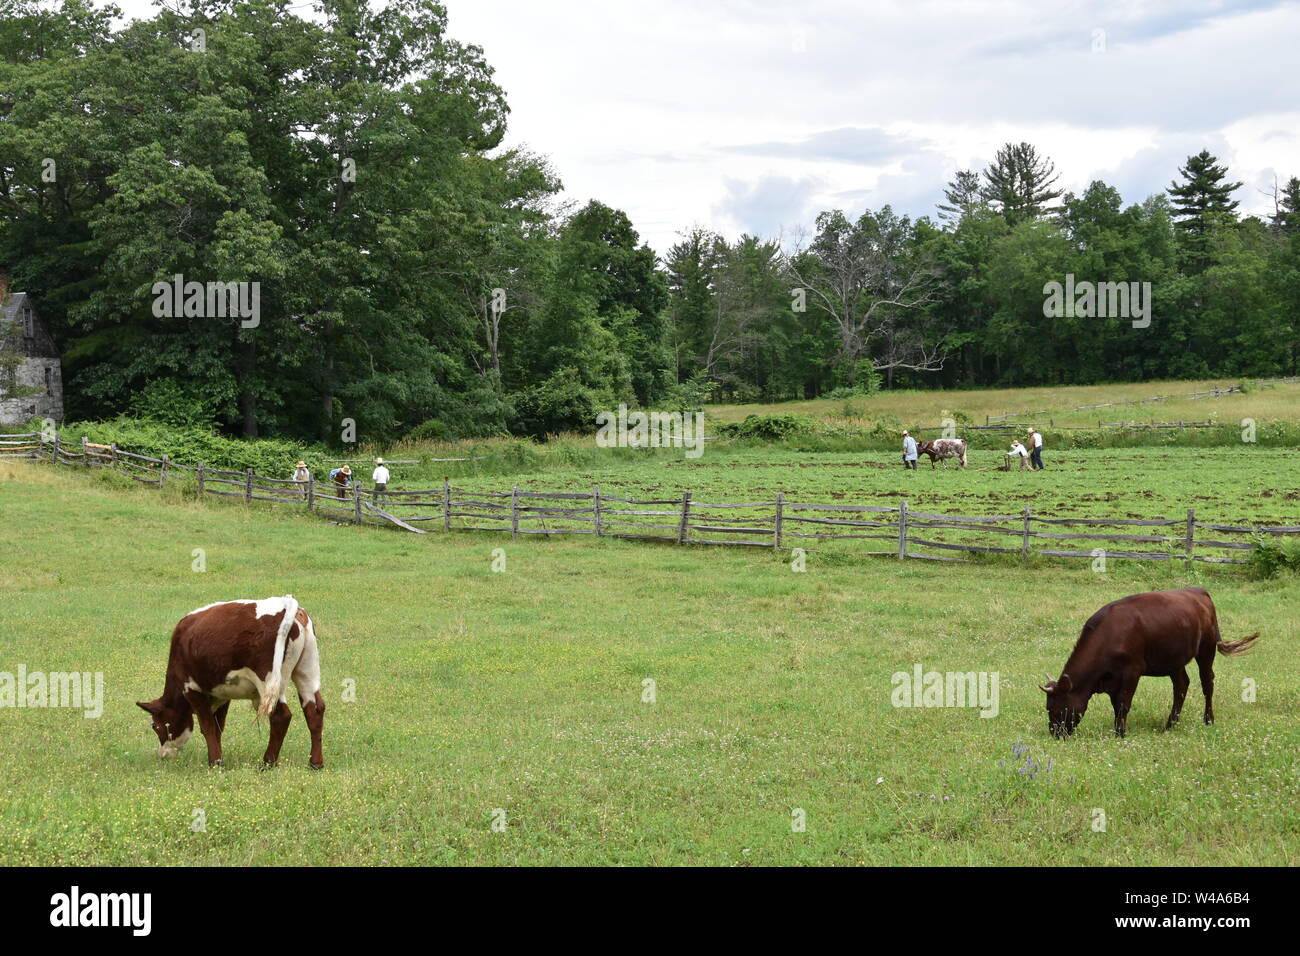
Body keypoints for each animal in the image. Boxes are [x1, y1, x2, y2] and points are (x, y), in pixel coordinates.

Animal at [137, 598, 325, 770]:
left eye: (155, 726)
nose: (162, 755)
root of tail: (287, 605)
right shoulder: (222, 693)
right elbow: (217, 727)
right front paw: (218, 757)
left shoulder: (192, 688)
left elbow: (207, 726)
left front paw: (215, 762)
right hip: (307, 672)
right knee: (315, 710)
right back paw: (315, 763)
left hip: (269, 681)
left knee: (281, 716)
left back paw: (267, 762)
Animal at [1040, 590, 1253, 738]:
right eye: (1047, 707)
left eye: (1057, 707)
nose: (1055, 734)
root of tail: (1199, 592)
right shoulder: (1113, 679)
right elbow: (1116, 704)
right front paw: (1118, 729)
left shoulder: (1132, 670)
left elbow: (1123, 703)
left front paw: (1120, 734)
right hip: (1174, 659)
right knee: (1181, 685)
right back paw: (1170, 724)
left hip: (1206, 649)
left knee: (1207, 683)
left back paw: (1208, 719)